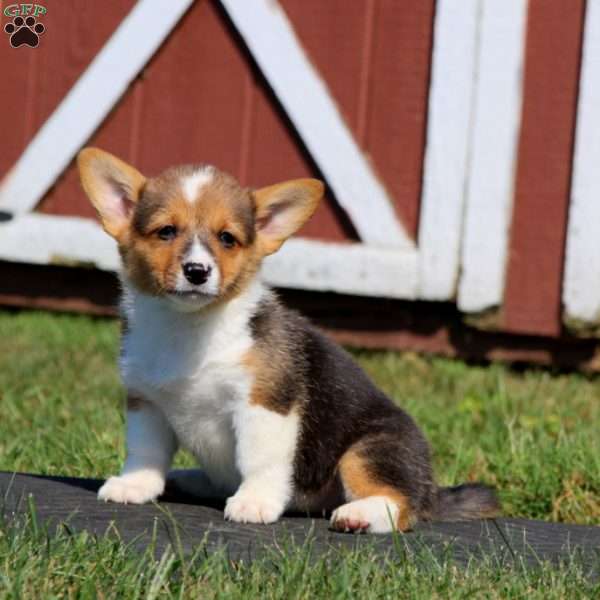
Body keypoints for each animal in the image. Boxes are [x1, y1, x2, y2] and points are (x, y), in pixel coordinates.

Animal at [76, 148, 496, 532]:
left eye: (227, 238)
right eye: (166, 231)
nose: (197, 271)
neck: (190, 326)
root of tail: (433, 492)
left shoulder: (265, 403)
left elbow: (258, 460)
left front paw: (255, 503)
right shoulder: (146, 401)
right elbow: (145, 451)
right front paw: (134, 486)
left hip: (370, 450)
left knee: (400, 505)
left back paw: (360, 515)